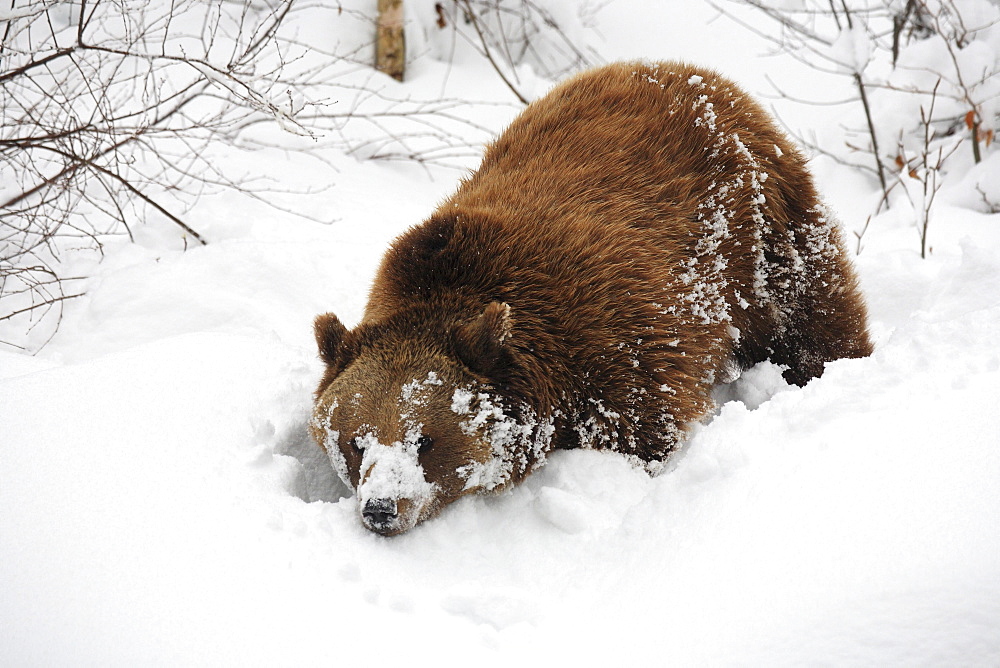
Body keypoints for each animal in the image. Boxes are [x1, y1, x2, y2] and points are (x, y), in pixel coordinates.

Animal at [308, 60, 872, 536]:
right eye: (355, 441)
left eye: (424, 438)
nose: (381, 508)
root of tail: (693, 71)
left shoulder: (617, 338)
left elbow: (641, 427)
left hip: (761, 228)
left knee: (812, 310)